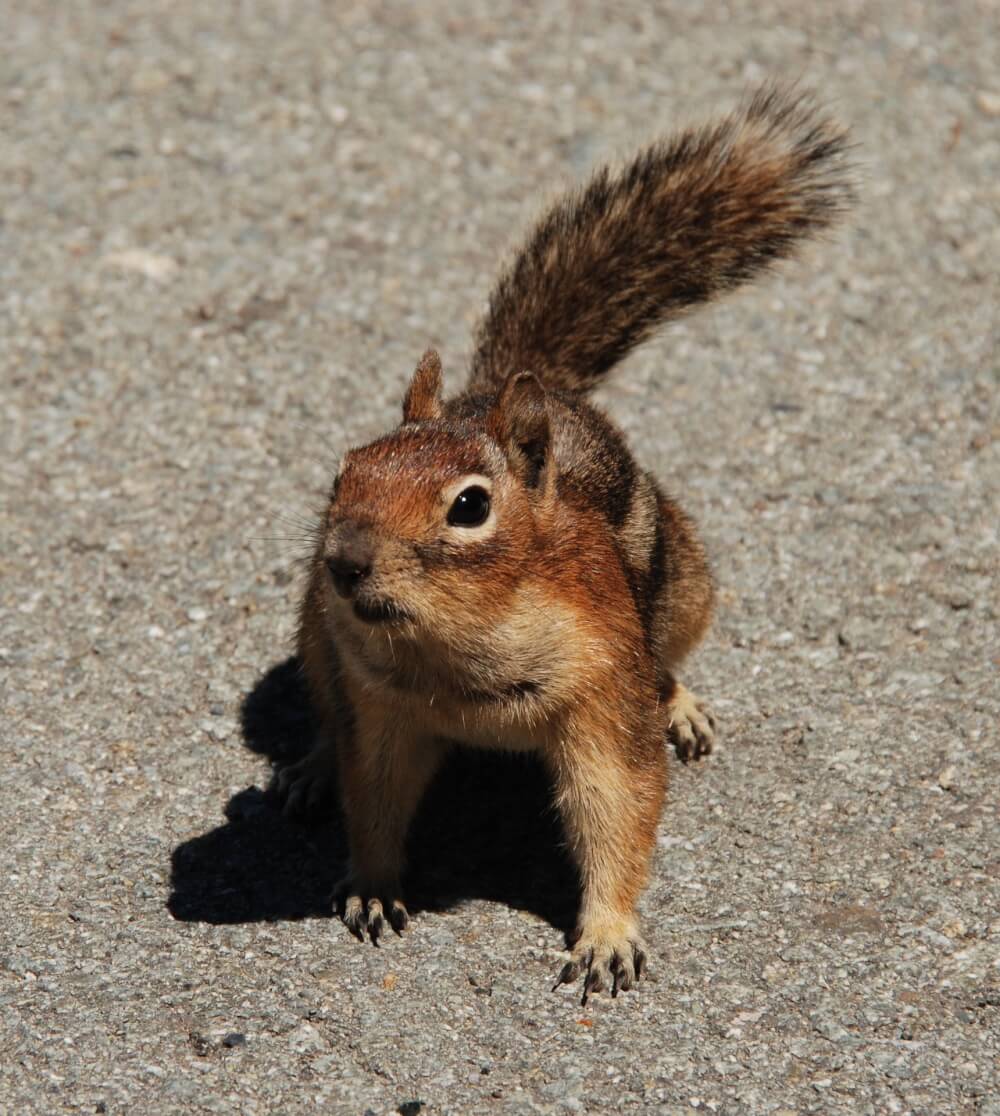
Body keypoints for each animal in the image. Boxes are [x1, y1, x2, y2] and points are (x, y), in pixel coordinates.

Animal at [275, 82, 852, 999]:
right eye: (344, 469)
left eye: (470, 506)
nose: (345, 560)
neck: (459, 651)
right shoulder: (383, 707)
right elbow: (374, 791)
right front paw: (371, 883)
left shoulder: (604, 687)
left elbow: (618, 803)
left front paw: (608, 935)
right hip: (312, 633)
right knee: (328, 713)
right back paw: (307, 769)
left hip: (685, 588)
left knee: (669, 660)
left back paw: (681, 705)